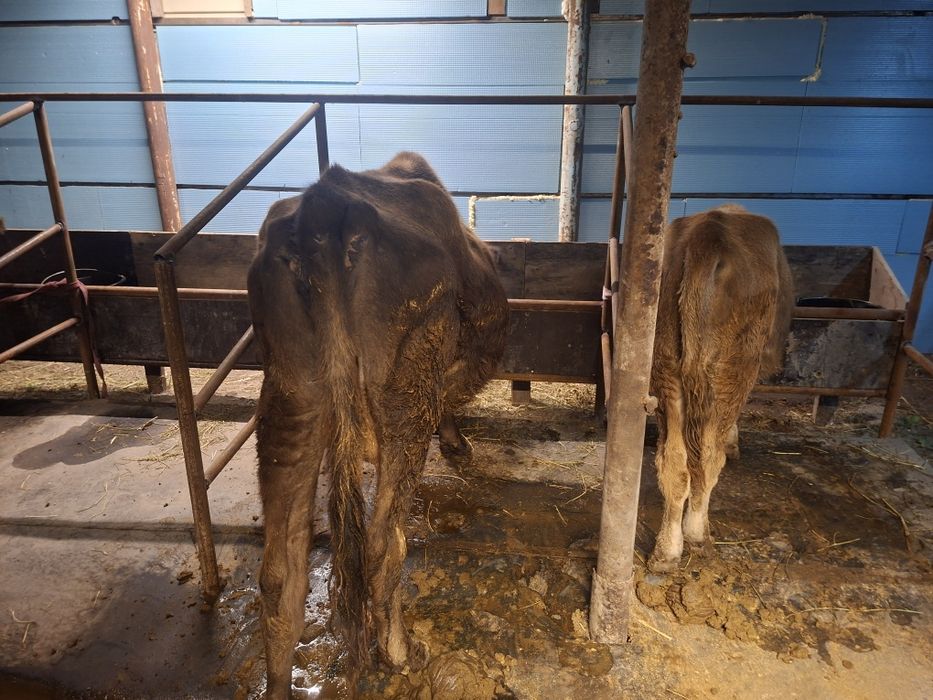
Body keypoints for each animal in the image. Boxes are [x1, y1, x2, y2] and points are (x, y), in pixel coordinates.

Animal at [247, 152, 509, 697]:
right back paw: (401, 652)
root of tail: (324, 205)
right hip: (407, 389)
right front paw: (456, 443)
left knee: (281, 573)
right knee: (383, 545)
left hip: (291, 399)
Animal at [647, 204, 794, 573]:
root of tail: (709, 231)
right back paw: (697, 533)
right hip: (734, 366)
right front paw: (734, 440)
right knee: (708, 457)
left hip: (665, 365)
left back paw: (667, 550)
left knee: (675, 461)